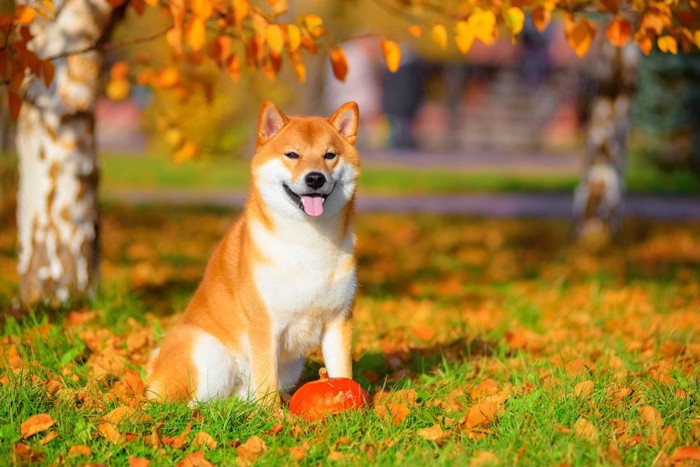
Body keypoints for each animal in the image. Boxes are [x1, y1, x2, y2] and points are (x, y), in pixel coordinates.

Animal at [144, 101, 358, 406]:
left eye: (329, 155)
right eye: (292, 154)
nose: (315, 178)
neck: (308, 240)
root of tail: (155, 364)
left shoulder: (338, 320)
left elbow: (342, 373)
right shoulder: (264, 323)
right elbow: (267, 382)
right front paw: (274, 416)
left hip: (289, 367)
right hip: (208, 357)